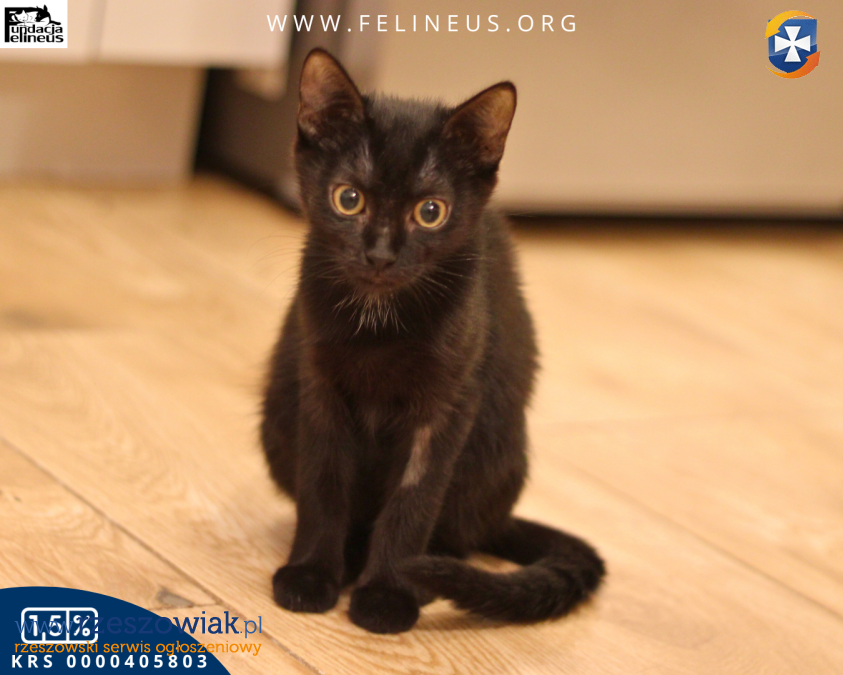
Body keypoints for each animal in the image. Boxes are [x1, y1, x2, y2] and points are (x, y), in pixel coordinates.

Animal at [261, 48, 605, 634]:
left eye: (430, 212)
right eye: (348, 199)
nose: (379, 254)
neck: (379, 319)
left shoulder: (448, 403)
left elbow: (414, 498)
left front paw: (389, 591)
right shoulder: (319, 384)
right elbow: (323, 483)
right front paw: (310, 574)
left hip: (495, 444)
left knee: (456, 536)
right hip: (278, 411)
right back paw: (348, 557)